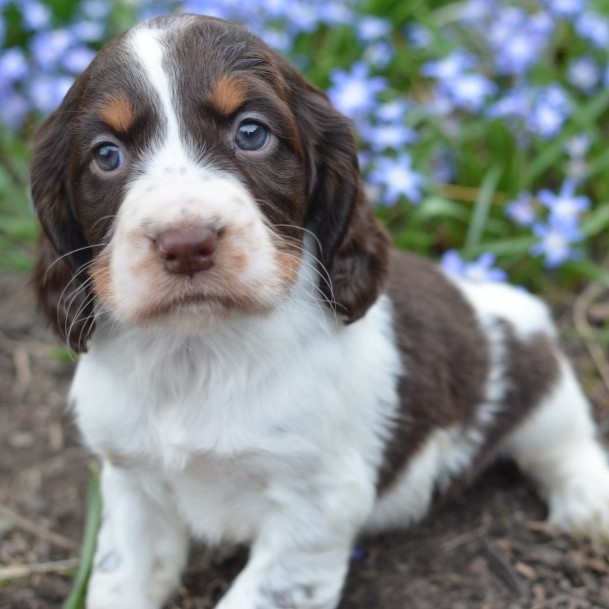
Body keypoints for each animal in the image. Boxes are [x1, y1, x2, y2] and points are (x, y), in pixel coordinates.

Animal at [30, 13, 608, 608]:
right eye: (106, 155)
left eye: (252, 133)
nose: (186, 243)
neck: (198, 352)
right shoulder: (131, 480)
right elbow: (120, 576)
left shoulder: (315, 504)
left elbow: (261, 591)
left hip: (541, 388)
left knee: (565, 443)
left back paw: (589, 503)